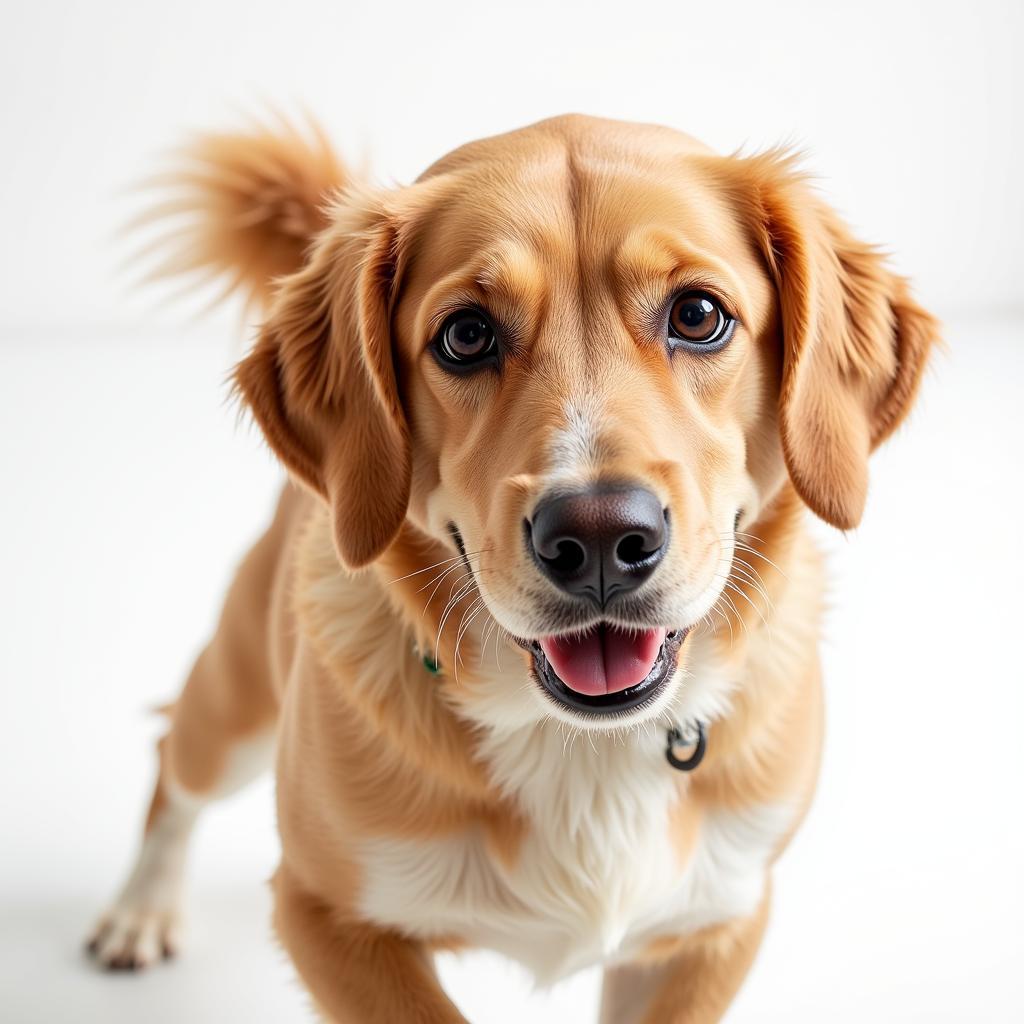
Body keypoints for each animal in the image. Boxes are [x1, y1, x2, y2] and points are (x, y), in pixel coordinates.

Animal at [83, 116, 937, 1019]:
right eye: (466, 335)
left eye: (699, 315)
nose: (598, 537)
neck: (583, 747)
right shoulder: (326, 917)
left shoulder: (708, 930)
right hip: (234, 706)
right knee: (172, 757)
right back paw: (139, 910)